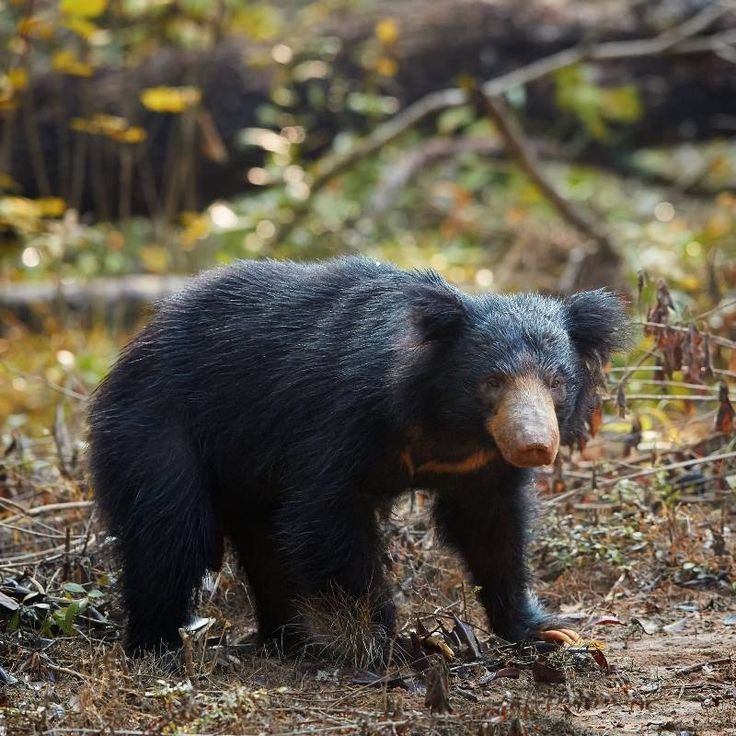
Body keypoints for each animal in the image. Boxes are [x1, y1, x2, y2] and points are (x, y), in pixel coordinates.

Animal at [87, 257, 628, 655]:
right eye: (493, 382)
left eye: (556, 383)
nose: (534, 445)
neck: (448, 428)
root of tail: (135, 347)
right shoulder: (339, 419)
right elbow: (327, 517)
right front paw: (393, 641)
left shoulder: (480, 465)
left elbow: (492, 530)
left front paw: (547, 630)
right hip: (157, 429)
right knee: (170, 531)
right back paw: (157, 646)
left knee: (263, 543)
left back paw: (290, 640)